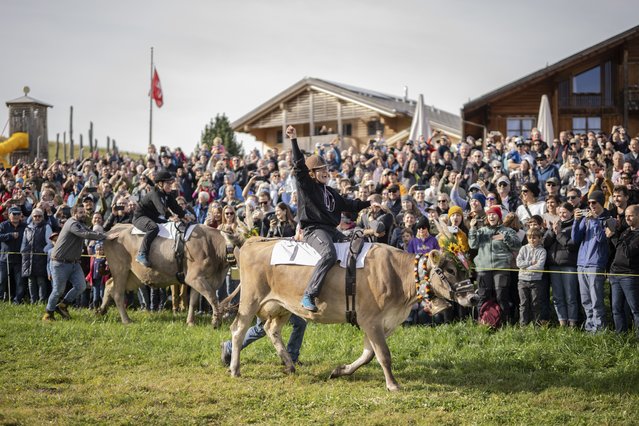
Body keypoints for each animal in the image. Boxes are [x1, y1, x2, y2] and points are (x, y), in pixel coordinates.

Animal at [99, 223, 239, 326]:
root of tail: (115, 228)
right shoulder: (194, 277)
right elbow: (212, 296)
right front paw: (216, 321)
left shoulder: (201, 278)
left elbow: (194, 300)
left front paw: (190, 322)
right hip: (120, 269)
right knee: (118, 293)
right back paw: (126, 320)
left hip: (133, 275)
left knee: (109, 284)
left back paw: (101, 310)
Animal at [229, 238, 476, 392]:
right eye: (450, 270)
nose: (473, 298)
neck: (398, 275)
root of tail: (253, 241)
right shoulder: (371, 319)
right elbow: (383, 355)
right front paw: (393, 384)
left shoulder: (382, 322)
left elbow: (368, 354)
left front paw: (340, 370)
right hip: (250, 300)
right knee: (238, 330)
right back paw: (235, 368)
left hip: (281, 306)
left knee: (271, 329)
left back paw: (289, 365)